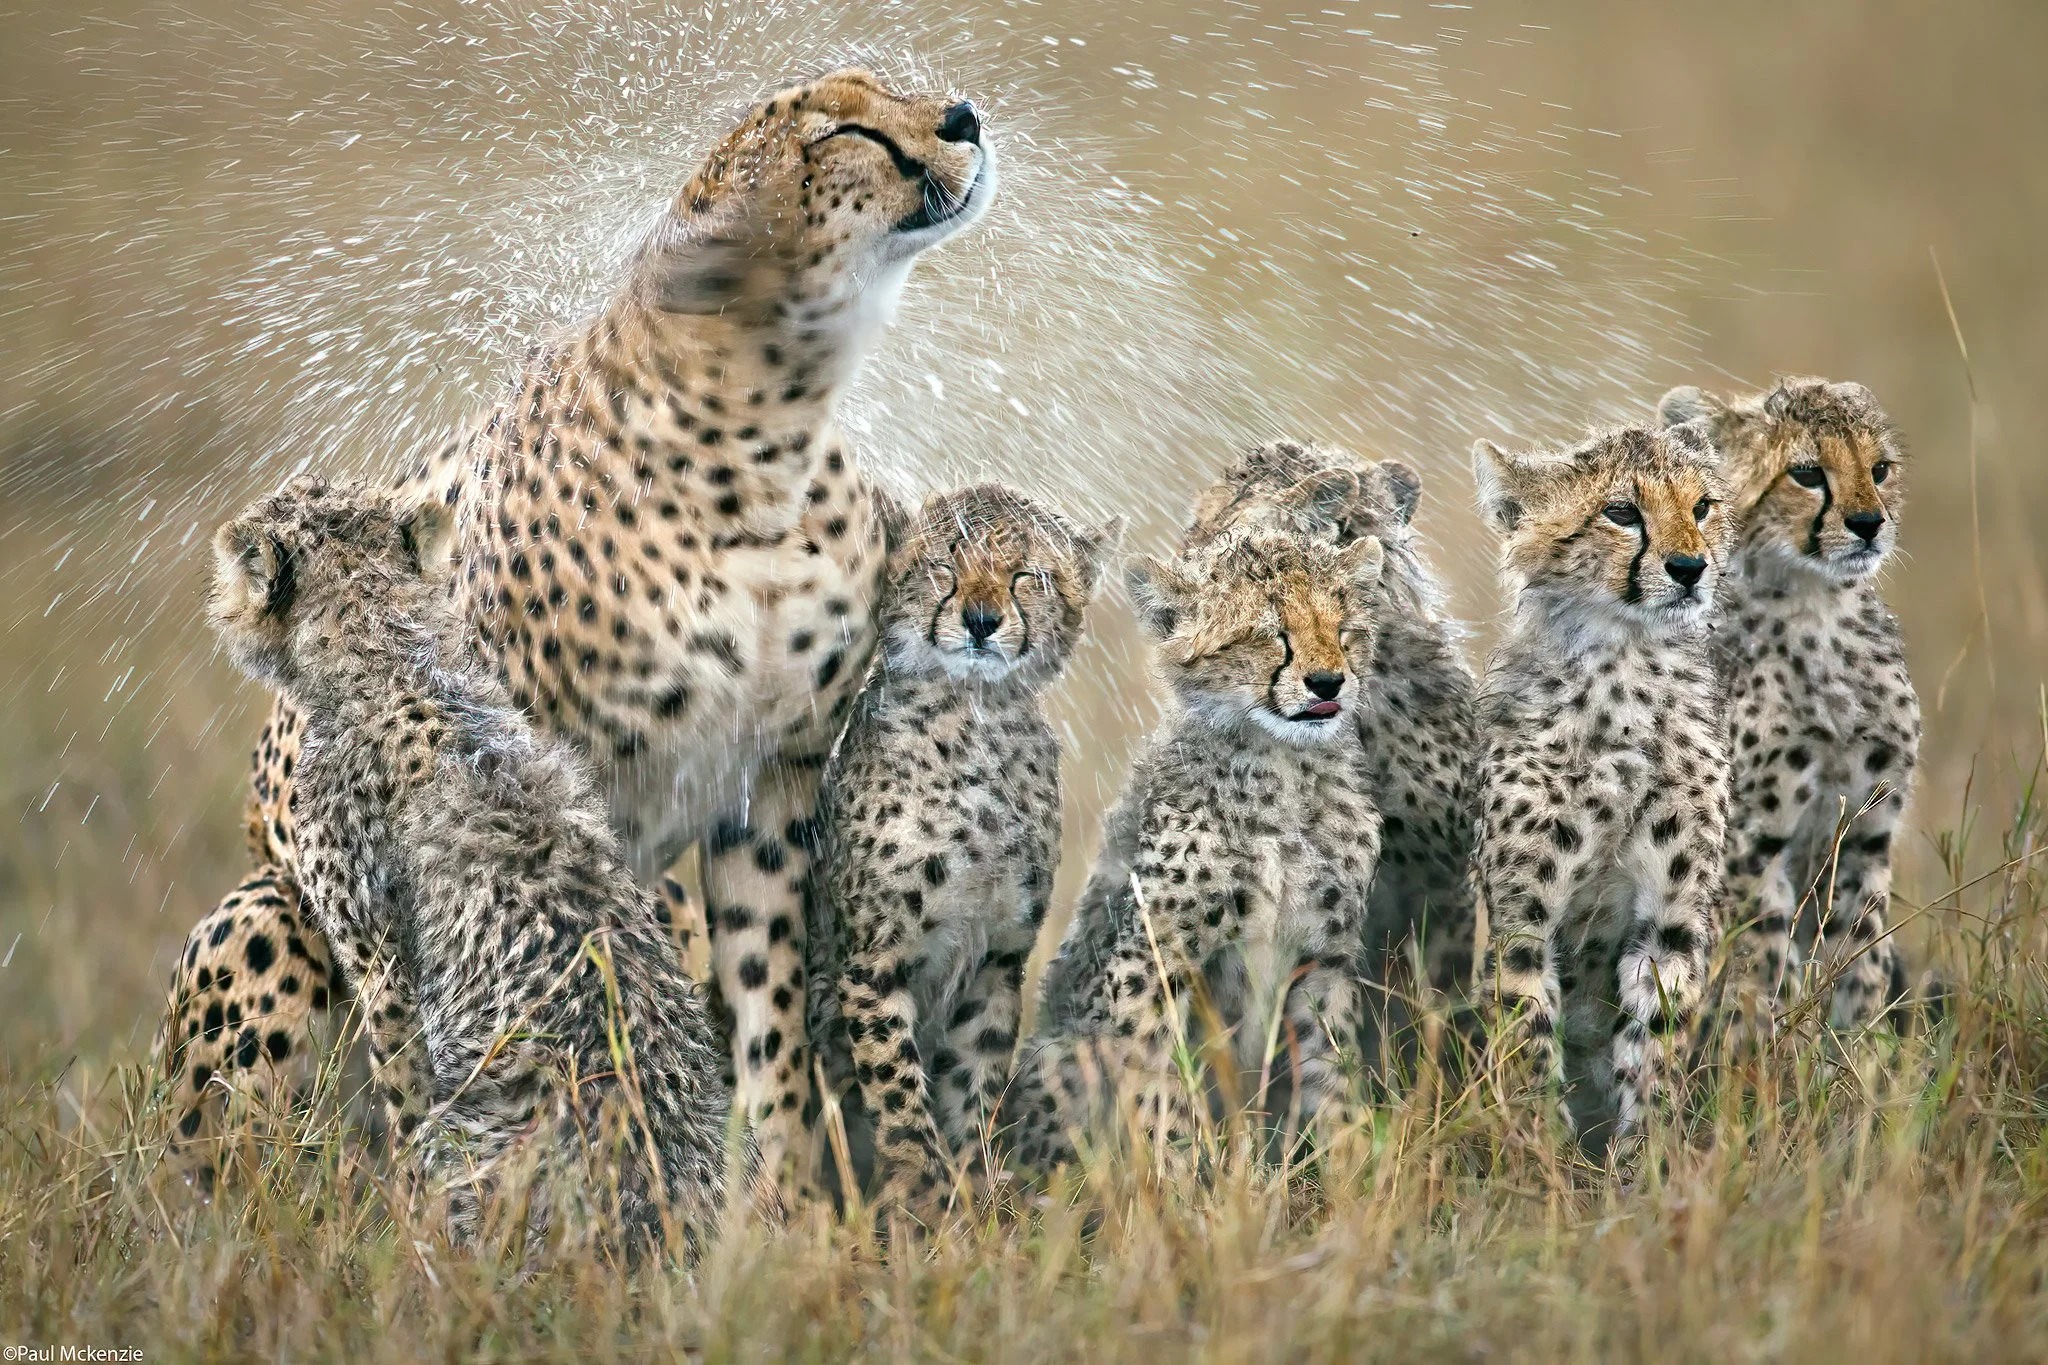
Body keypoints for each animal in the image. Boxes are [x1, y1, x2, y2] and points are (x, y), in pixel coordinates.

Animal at [803, 483, 1118, 1214]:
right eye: (944, 566)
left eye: (1026, 576)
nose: (979, 620)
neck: (976, 721)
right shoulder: (874, 960)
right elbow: (894, 1079)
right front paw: (922, 1183)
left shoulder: (999, 956)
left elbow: (975, 1073)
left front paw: (975, 1184)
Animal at [1003, 524, 1388, 1177]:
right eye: (1269, 631)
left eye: (1343, 627)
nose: (1328, 682)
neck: (1283, 767)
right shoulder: (1154, 957)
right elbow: (1161, 1087)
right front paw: (1182, 1183)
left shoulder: (1324, 959)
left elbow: (1333, 1077)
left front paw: (1355, 1174)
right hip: (1060, 1053)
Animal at [1470, 422, 1732, 1155]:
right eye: (1622, 512)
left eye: (1702, 507)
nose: (1690, 567)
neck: (1626, 662)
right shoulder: (1521, 916)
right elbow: (1528, 1033)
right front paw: (1545, 1160)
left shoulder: (1673, 917)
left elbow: (1656, 1042)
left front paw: (1648, 1159)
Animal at [1658, 377, 1921, 1040]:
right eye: (1806, 474)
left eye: (1880, 470)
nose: (1869, 524)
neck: (1818, 607)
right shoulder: (1753, 840)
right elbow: (1760, 960)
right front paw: (1762, 1056)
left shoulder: (1870, 830)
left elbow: (1861, 953)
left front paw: (1857, 1055)